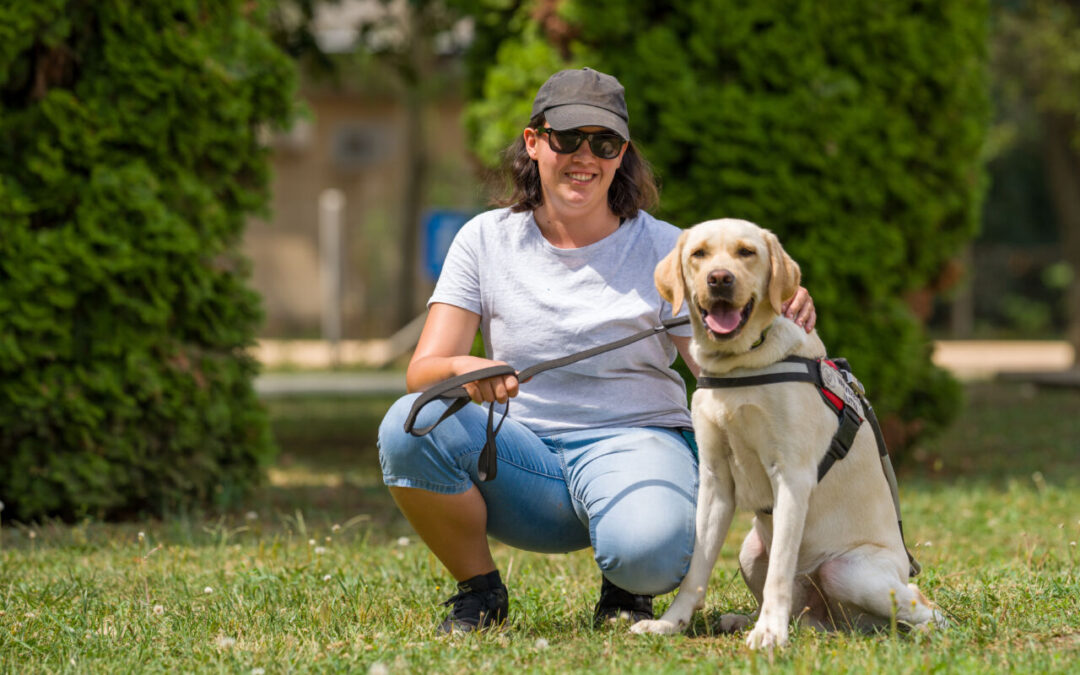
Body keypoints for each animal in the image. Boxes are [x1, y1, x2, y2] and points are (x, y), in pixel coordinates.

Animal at [630, 220, 941, 648]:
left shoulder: (792, 476)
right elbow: (696, 568)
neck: (739, 365)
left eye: (746, 252)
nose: (720, 279)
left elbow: (779, 567)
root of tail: (838, 622)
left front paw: (769, 634)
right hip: (750, 551)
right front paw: (670, 623)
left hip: (850, 571)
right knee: (803, 614)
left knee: (926, 607)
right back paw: (745, 619)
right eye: (699, 254)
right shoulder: (716, 481)